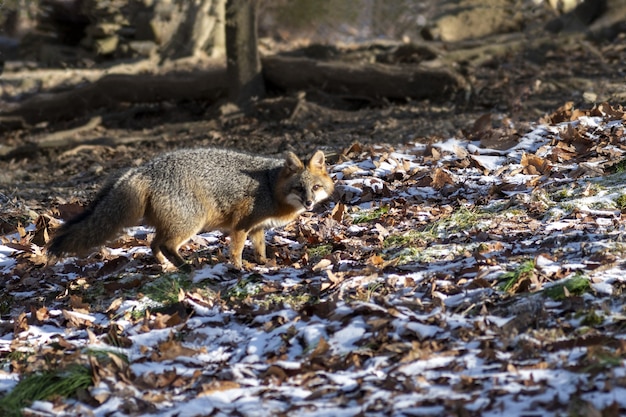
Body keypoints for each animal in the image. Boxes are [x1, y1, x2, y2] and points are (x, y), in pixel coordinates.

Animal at [46, 146, 334, 270]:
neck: (270, 185)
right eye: (299, 188)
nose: (309, 203)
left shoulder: (257, 228)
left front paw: (264, 263)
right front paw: (239, 268)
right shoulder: (241, 225)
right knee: (164, 244)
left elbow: (260, 248)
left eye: (315, 187)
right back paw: (185, 266)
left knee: (153, 243)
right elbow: (236, 250)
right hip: (191, 224)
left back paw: (168, 266)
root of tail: (143, 169)